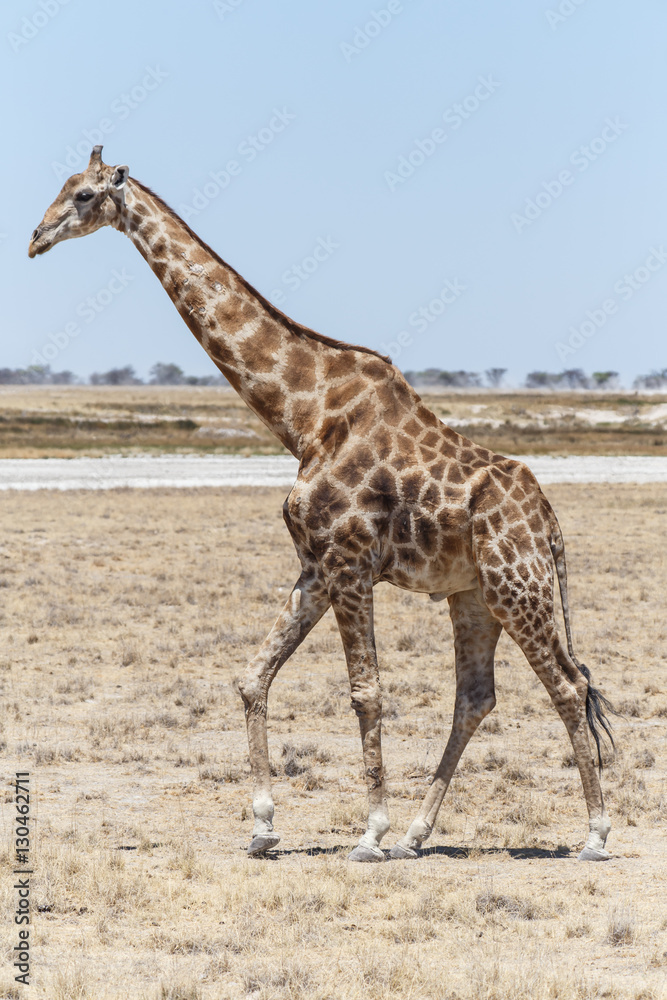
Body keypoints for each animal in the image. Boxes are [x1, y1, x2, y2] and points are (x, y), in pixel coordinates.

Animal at [29, 146, 615, 863]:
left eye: (83, 195)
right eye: (62, 187)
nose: (35, 238)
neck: (303, 419)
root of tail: (550, 522)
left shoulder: (350, 562)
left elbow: (366, 693)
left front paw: (369, 833)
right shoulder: (315, 565)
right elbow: (253, 676)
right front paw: (263, 825)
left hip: (517, 586)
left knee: (568, 685)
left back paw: (593, 834)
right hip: (472, 595)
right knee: (477, 697)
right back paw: (419, 835)